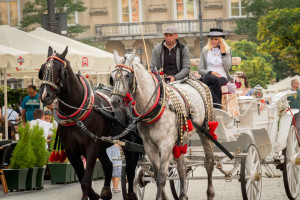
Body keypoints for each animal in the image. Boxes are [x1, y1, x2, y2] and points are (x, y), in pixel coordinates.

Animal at [39, 46, 141, 200]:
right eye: (43, 69)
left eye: (59, 70)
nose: (45, 96)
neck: (76, 115)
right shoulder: (72, 151)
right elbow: (82, 177)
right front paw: (93, 194)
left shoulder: (91, 147)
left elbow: (86, 181)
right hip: (102, 145)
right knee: (108, 166)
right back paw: (106, 191)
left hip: (128, 141)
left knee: (130, 168)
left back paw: (131, 194)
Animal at [111, 50, 214, 200]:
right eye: (112, 76)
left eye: (127, 75)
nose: (114, 101)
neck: (154, 105)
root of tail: (196, 81)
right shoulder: (149, 147)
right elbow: (156, 174)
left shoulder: (166, 145)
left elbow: (161, 178)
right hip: (182, 138)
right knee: (182, 168)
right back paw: (183, 195)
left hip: (205, 130)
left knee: (209, 163)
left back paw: (210, 193)